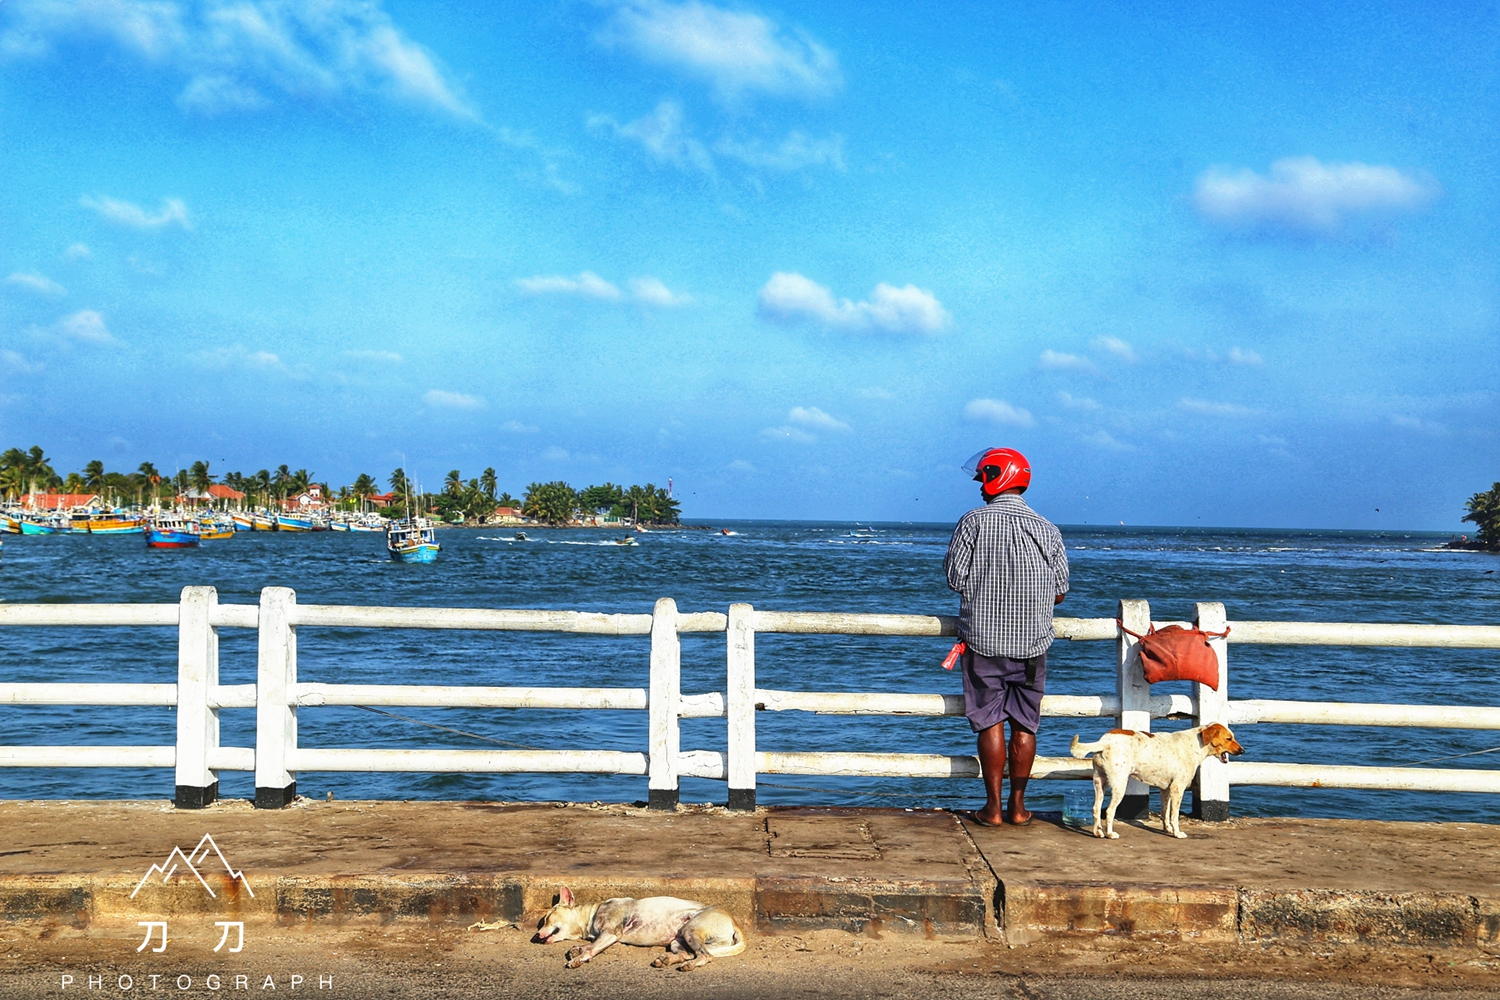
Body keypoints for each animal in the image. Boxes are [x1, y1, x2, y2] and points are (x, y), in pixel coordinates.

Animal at [1074, 722, 1248, 839]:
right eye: (1229, 738)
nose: (1243, 750)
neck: (1195, 744)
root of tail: (1104, 741)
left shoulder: (1166, 789)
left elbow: (1165, 812)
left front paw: (1167, 829)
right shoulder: (1178, 788)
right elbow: (1174, 815)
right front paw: (1177, 833)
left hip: (1100, 783)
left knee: (1096, 809)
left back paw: (1098, 832)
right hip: (1119, 785)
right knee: (1109, 811)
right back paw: (1110, 834)